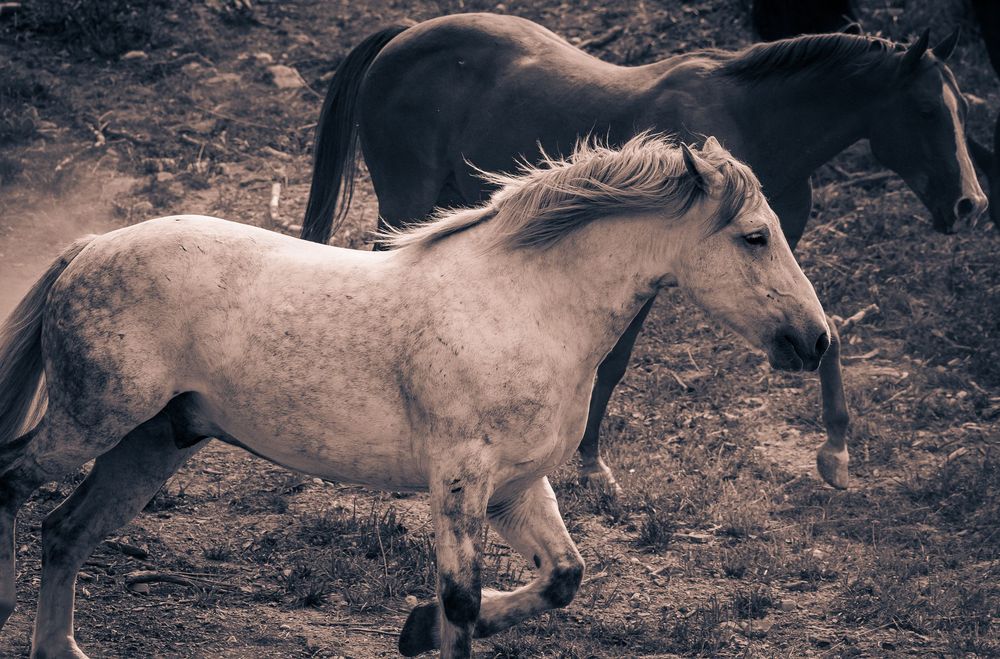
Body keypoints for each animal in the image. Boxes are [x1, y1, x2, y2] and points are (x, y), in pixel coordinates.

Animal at [0, 135, 829, 658]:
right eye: (756, 236)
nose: (817, 340)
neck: (527, 304)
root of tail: (91, 248)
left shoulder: (518, 485)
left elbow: (560, 578)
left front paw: (414, 628)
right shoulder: (460, 477)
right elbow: (463, 598)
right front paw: (428, 626)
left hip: (153, 439)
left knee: (65, 529)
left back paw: (60, 645)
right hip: (91, 422)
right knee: (14, 481)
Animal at [299, 14, 987, 493]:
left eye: (962, 109)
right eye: (926, 109)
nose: (970, 205)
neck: (757, 118)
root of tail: (405, 35)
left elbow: (829, 328)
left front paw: (837, 453)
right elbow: (614, 360)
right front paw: (592, 464)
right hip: (404, 198)